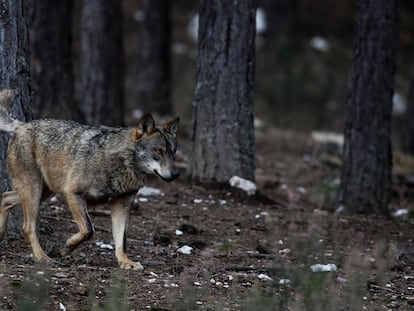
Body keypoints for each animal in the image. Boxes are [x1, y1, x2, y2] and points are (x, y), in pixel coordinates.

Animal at [0, 89, 180, 270]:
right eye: (158, 151)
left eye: (173, 152)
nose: (175, 174)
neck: (121, 163)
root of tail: (21, 126)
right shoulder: (72, 193)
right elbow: (88, 230)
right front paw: (67, 246)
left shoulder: (121, 206)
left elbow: (121, 241)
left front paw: (125, 262)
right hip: (35, 192)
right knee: (27, 227)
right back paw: (42, 257)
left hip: (43, 192)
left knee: (5, 197)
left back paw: (1, 234)